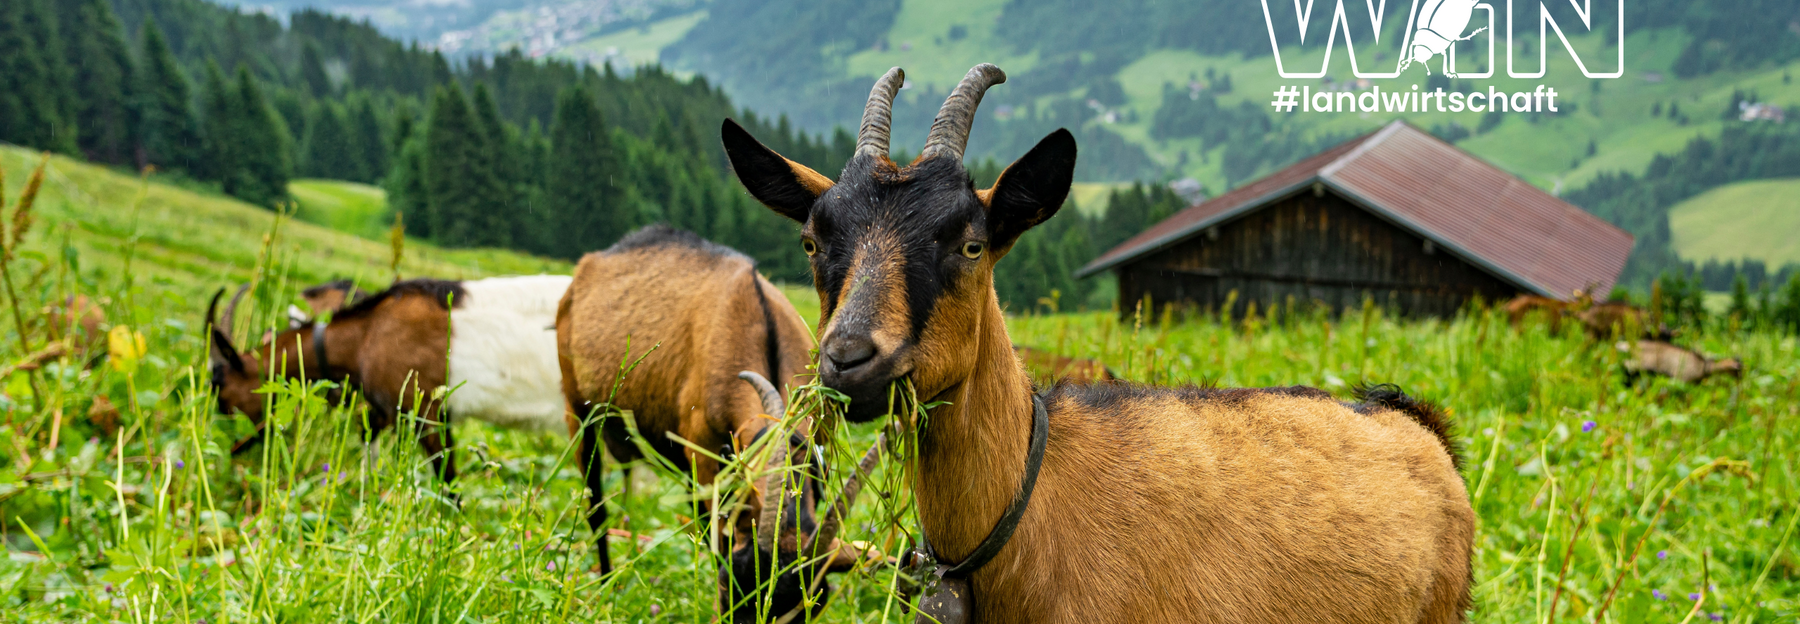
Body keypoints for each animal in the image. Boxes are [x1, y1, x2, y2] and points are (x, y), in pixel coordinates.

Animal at [208, 275, 573, 480]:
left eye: (220, 387)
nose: (234, 449)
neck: (369, 333)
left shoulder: (425, 409)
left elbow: (447, 479)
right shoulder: (390, 406)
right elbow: (367, 432)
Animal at [555, 225, 865, 621]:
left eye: (813, 606)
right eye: (734, 586)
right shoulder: (701, 455)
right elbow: (715, 535)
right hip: (578, 408)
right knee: (596, 505)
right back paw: (606, 583)